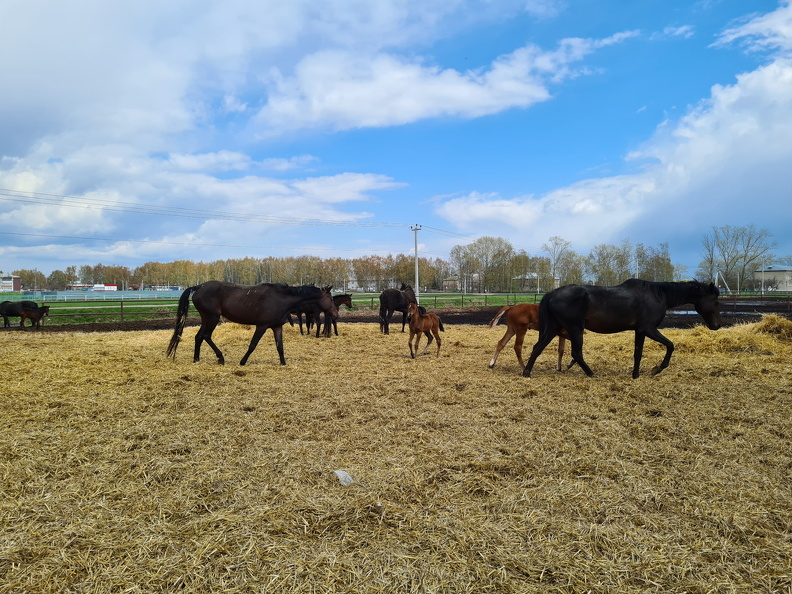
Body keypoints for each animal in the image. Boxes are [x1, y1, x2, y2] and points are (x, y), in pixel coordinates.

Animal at [167, 280, 338, 364]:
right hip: (212, 318)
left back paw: (196, 359)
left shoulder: (276, 327)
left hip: (206, 318)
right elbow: (253, 345)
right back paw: (220, 358)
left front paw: (283, 363)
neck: (281, 299)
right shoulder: (262, 326)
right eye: (330, 299)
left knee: (199, 337)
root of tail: (199, 287)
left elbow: (280, 347)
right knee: (206, 336)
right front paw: (243, 361)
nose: (335, 314)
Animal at [524, 278, 720, 380]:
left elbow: (638, 353)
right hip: (575, 328)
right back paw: (591, 373)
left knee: (538, 347)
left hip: (555, 327)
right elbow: (670, 345)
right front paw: (657, 368)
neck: (658, 295)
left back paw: (527, 372)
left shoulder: (640, 331)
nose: (716, 325)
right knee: (576, 353)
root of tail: (552, 293)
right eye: (715, 301)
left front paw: (635, 375)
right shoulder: (649, 329)